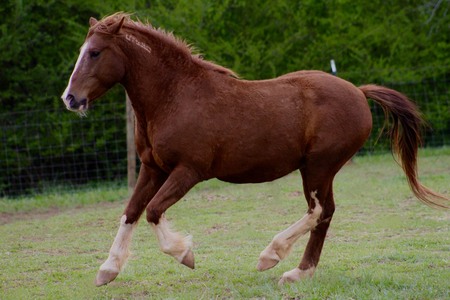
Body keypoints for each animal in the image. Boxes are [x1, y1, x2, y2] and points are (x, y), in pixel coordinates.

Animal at [61, 13, 448, 286]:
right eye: (81, 52)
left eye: (95, 52)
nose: (70, 99)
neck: (175, 97)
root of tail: (358, 91)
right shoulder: (152, 168)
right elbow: (131, 211)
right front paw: (107, 270)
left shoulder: (188, 171)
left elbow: (154, 211)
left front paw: (185, 254)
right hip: (321, 170)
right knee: (326, 212)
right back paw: (297, 273)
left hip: (318, 166)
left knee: (317, 210)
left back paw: (271, 256)